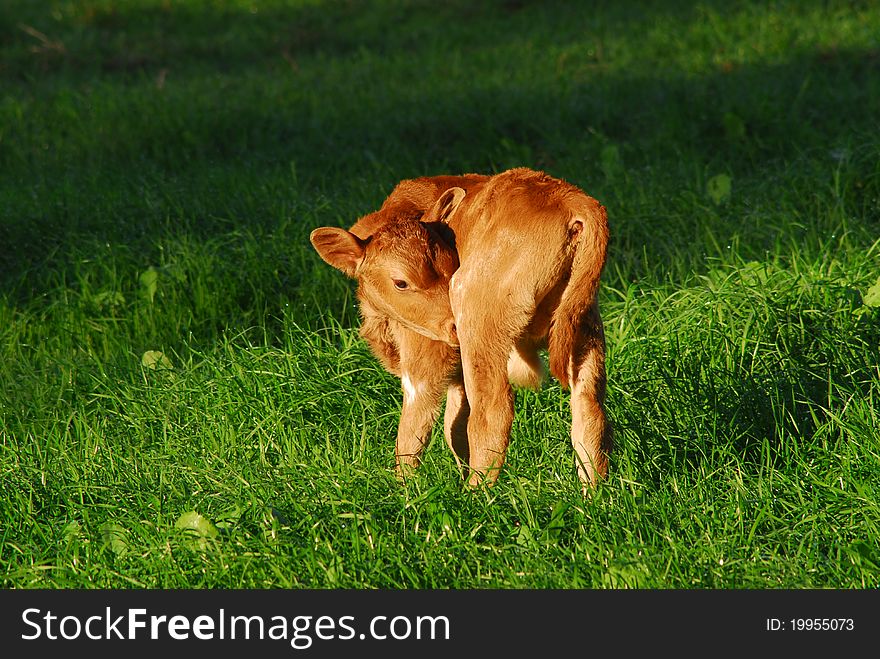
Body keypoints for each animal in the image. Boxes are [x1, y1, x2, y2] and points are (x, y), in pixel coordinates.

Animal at [312, 170, 612, 490]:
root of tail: (570, 197)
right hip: (581, 325)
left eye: (451, 266)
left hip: (477, 317)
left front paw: (405, 490)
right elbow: (454, 428)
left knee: (492, 413)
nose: (452, 325)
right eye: (401, 283)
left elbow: (412, 432)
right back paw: (592, 493)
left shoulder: (424, 357)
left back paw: (476, 493)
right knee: (590, 408)